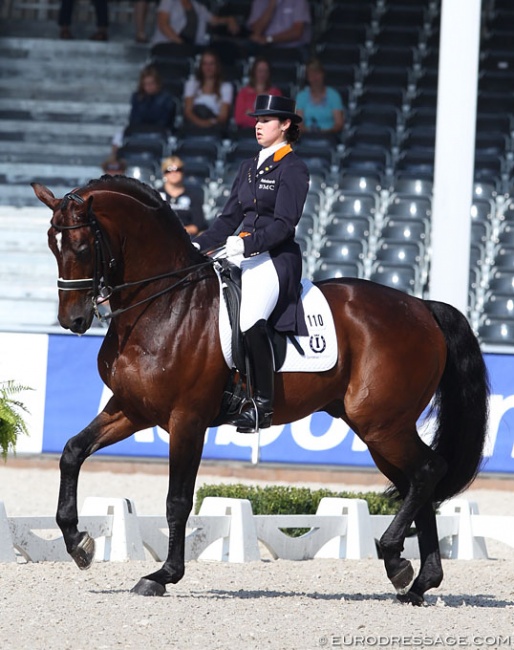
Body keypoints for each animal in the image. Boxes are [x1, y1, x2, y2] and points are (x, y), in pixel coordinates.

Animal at [32, 176, 488, 604]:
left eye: (82, 244)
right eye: (53, 245)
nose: (73, 320)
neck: (165, 304)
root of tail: (422, 307)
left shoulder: (187, 420)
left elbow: (177, 500)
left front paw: (162, 575)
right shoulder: (132, 409)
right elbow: (72, 452)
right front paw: (77, 543)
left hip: (382, 424)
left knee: (427, 471)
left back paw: (395, 557)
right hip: (378, 429)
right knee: (419, 481)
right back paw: (418, 582)